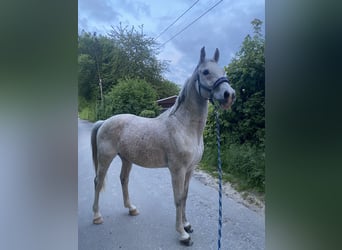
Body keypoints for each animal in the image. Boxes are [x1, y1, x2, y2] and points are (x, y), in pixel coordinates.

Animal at [90, 47, 235, 246]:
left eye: (223, 72)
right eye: (205, 72)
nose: (229, 95)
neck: (184, 126)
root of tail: (104, 121)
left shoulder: (190, 170)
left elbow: (185, 196)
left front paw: (187, 225)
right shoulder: (177, 170)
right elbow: (178, 199)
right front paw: (183, 234)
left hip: (126, 159)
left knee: (123, 180)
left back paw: (131, 208)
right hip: (106, 158)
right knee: (98, 181)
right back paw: (97, 216)